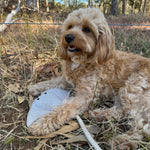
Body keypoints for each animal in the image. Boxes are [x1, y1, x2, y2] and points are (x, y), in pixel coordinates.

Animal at [28, 7, 150, 149]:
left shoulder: (85, 95)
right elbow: (51, 82)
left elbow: (63, 110)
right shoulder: (66, 80)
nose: (68, 37)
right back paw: (101, 115)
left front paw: (41, 124)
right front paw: (34, 87)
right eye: (70, 26)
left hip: (132, 88)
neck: (84, 60)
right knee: (123, 110)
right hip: (124, 92)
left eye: (87, 29)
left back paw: (122, 141)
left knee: (142, 125)